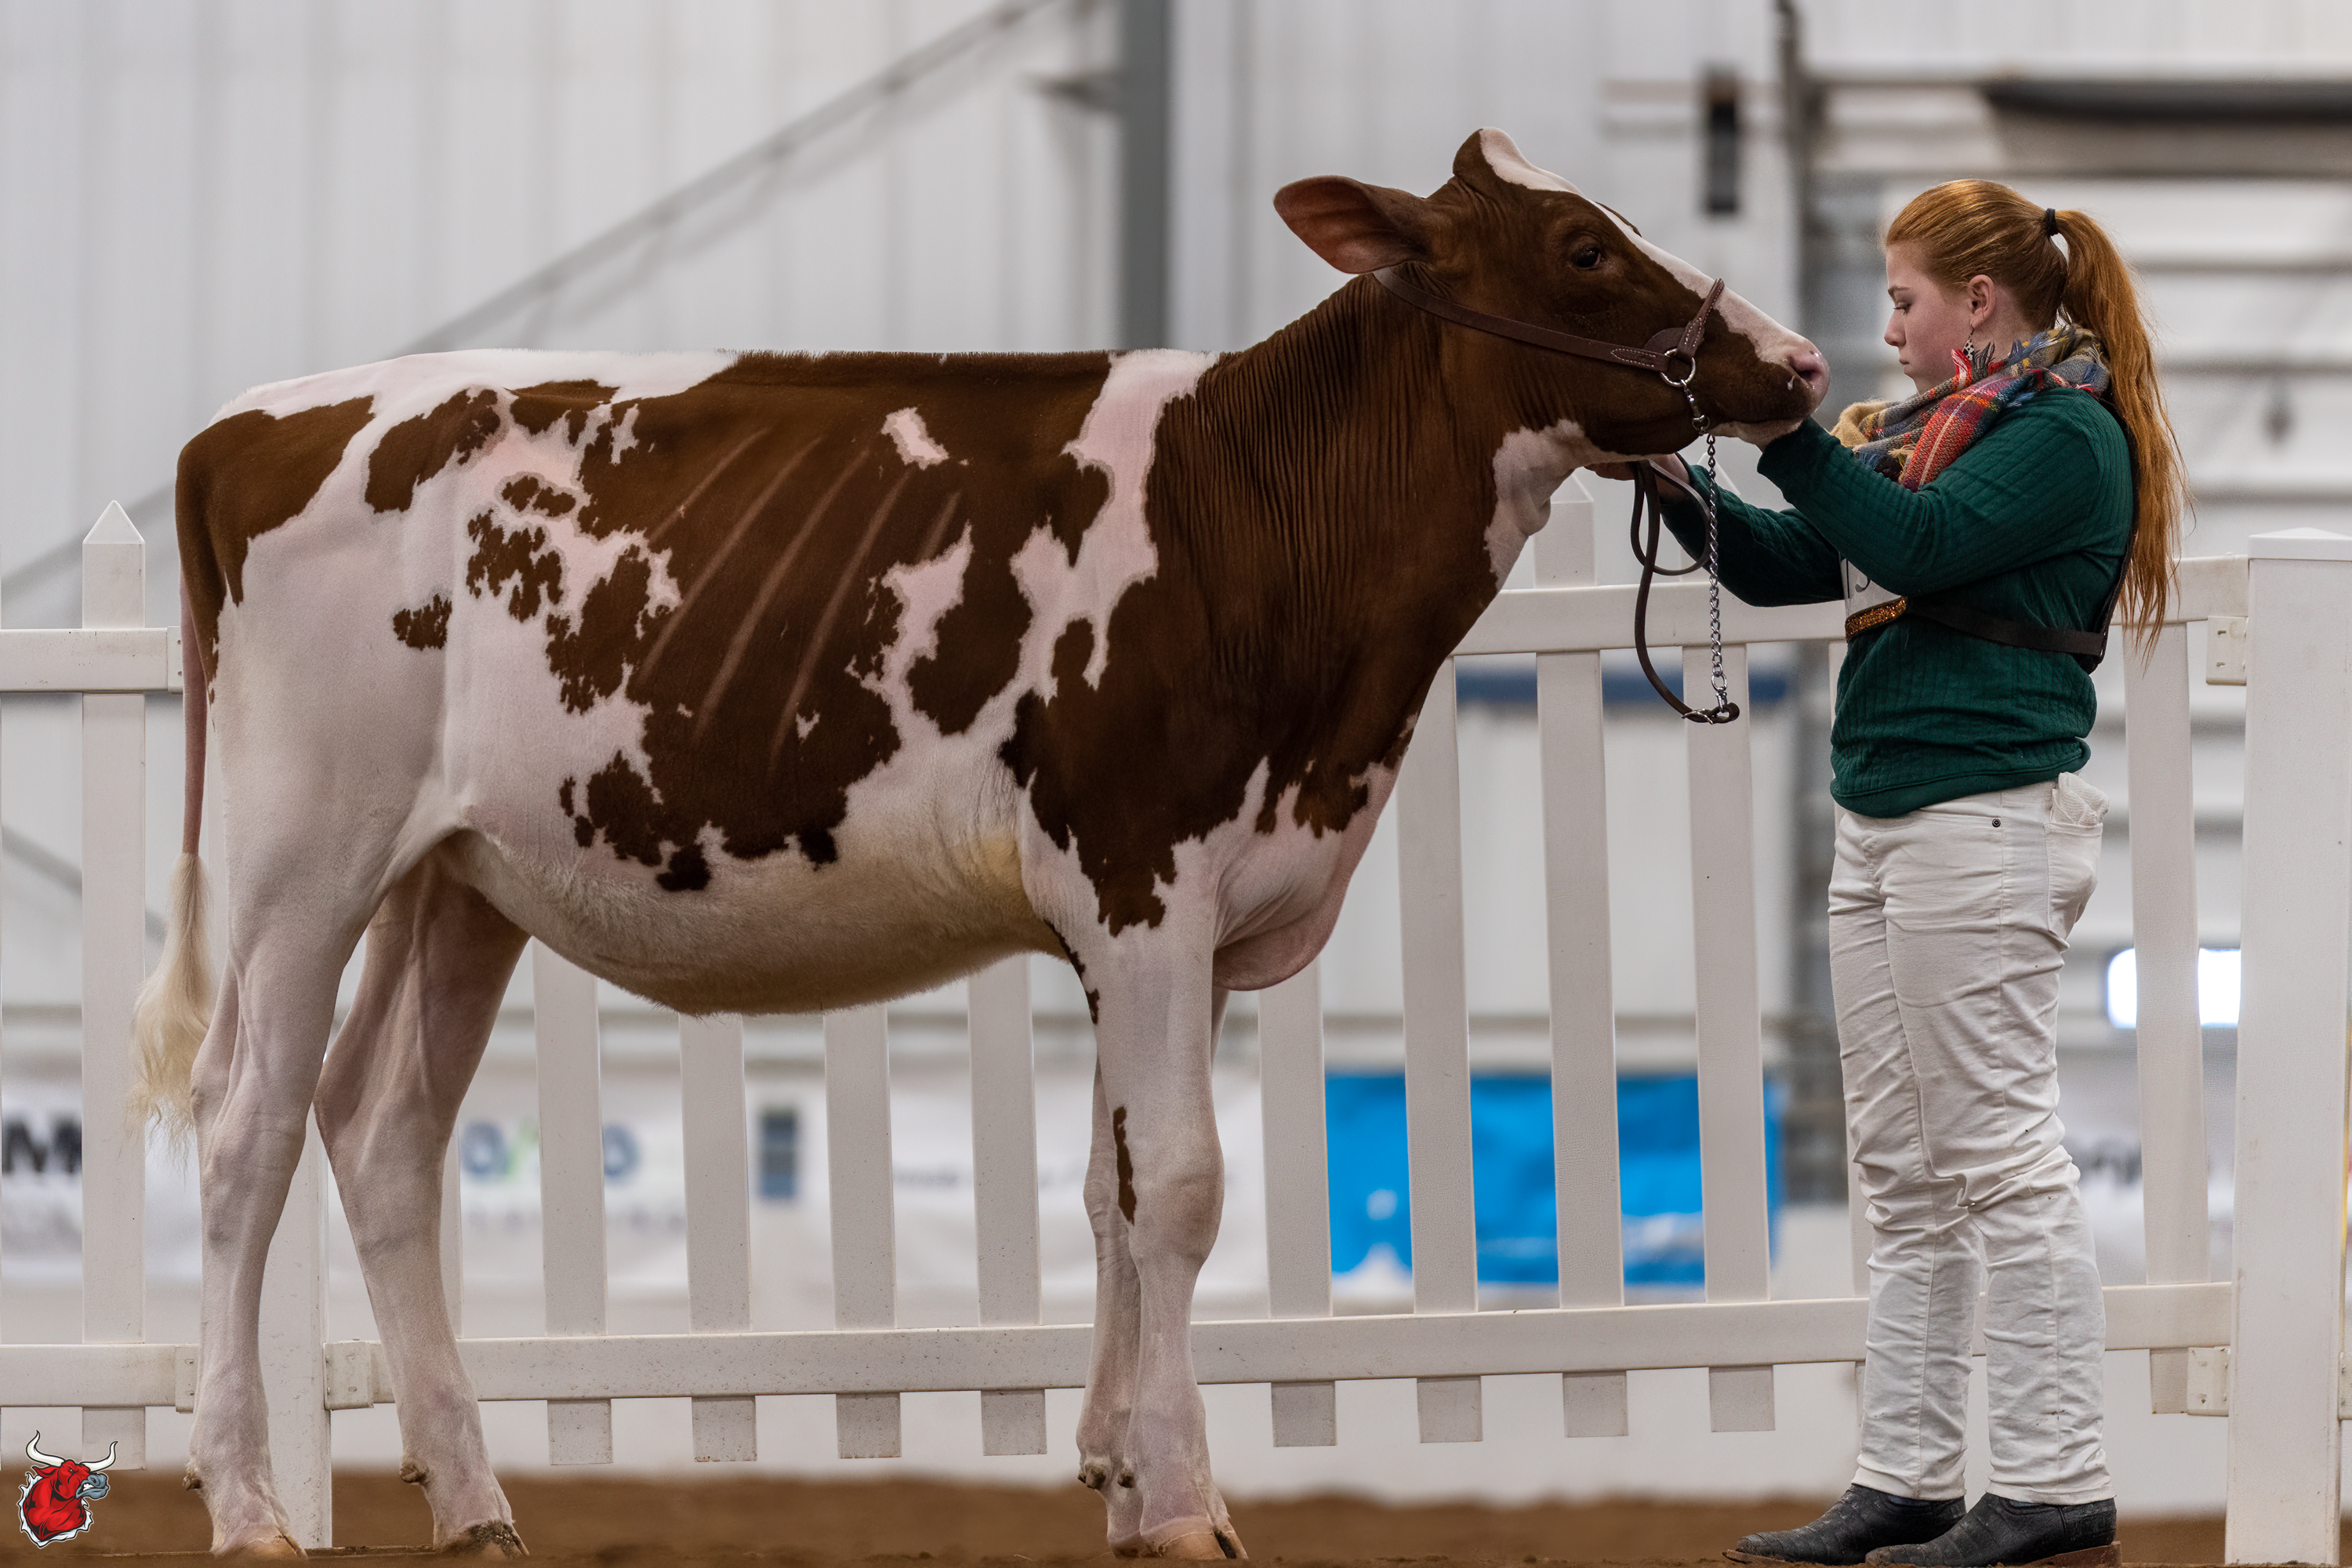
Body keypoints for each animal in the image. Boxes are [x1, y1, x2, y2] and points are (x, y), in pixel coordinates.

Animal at [132, 129, 1824, 1557]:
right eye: (1582, 246)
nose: (1800, 364)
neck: (1257, 521)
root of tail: (244, 426)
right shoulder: (1143, 873)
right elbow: (1187, 1184)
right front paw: (1186, 1506)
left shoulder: (1194, 918)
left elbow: (1115, 1187)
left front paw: (1119, 1469)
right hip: (303, 855)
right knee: (245, 1127)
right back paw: (249, 1503)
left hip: (458, 879)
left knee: (384, 1129)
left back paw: (476, 1500)